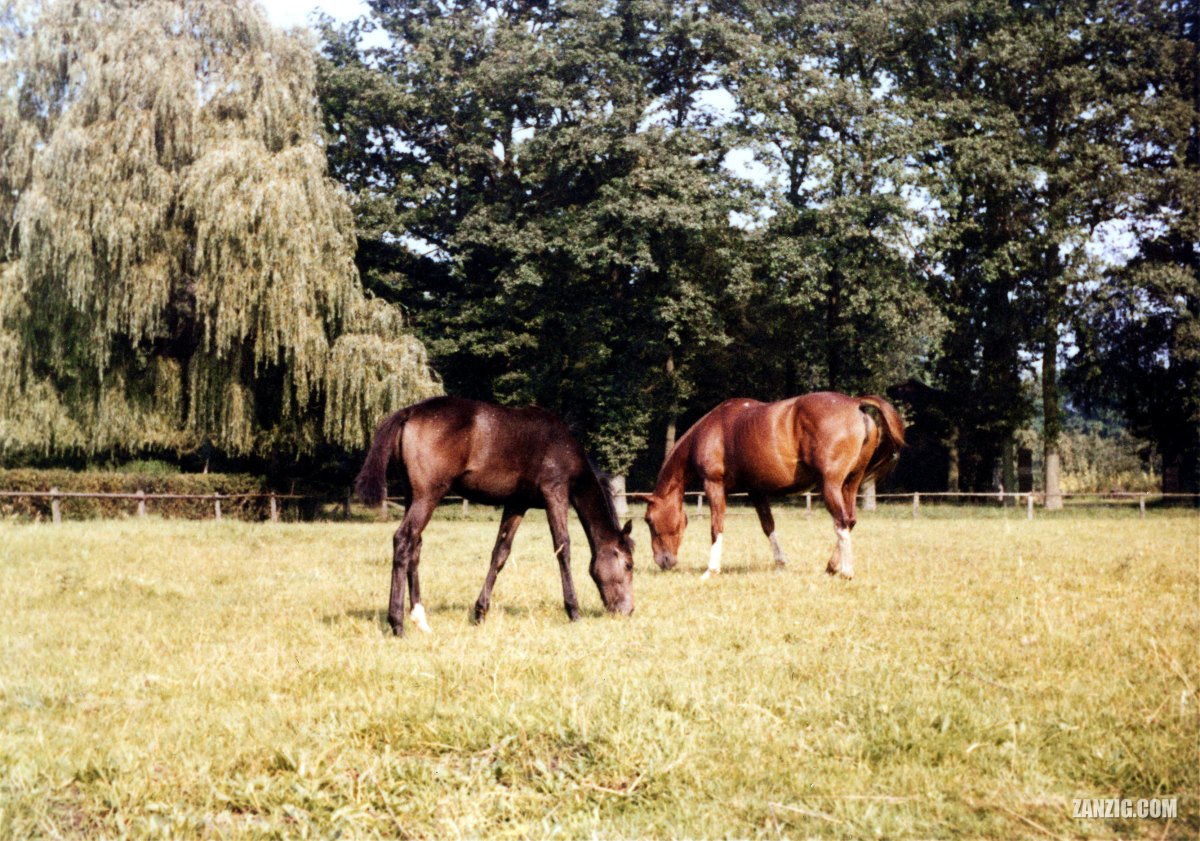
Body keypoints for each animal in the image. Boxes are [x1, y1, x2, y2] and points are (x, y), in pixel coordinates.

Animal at [354, 396, 635, 636]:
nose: (628, 610)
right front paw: (573, 610)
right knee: (404, 540)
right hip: (428, 496)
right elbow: (562, 548)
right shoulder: (555, 494)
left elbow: (500, 553)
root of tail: (409, 412)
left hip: (413, 496)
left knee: (415, 546)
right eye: (629, 565)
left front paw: (480, 611)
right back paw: (397, 623)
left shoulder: (516, 504)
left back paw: (420, 619)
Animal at [640, 392, 904, 580]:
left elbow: (716, 527)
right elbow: (768, 526)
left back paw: (846, 571)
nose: (663, 562)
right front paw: (780, 562)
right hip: (850, 485)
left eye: (649, 520)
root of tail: (854, 403)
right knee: (850, 520)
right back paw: (831, 566)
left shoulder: (713, 485)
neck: (712, 430)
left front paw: (712, 569)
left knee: (841, 522)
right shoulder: (756, 491)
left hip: (831, 485)